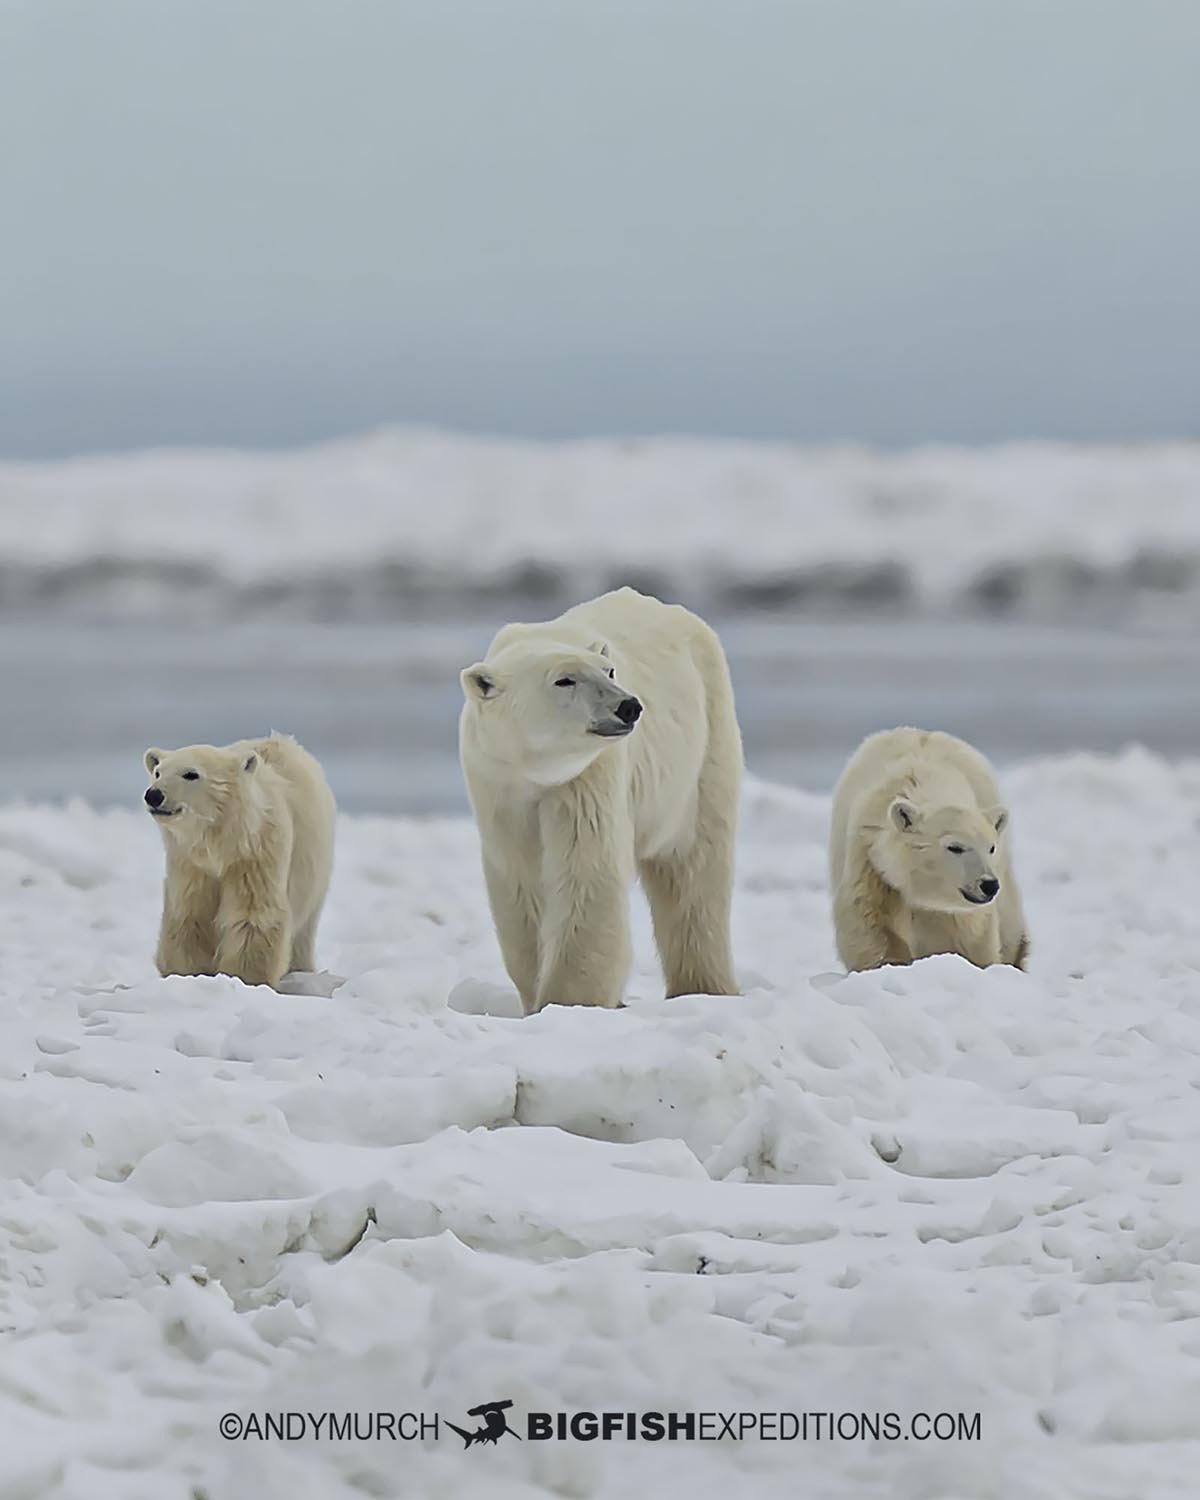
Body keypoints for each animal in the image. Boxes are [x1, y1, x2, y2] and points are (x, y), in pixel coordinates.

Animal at [143, 733, 336, 989]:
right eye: (158, 772)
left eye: (191, 774)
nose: (154, 795)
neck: (221, 843)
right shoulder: (189, 863)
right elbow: (190, 914)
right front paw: (187, 974)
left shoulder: (256, 856)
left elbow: (253, 916)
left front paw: (246, 979)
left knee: (304, 929)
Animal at [459, 587, 742, 1014]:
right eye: (564, 680)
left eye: (608, 671)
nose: (629, 706)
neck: (535, 771)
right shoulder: (497, 785)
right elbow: (522, 884)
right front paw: (535, 998)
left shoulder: (586, 777)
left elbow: (586, 872)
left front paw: (568, 1002)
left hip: (701, 751)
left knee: (694, 871)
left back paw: (704, 987)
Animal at [829, 726, 1029, 973]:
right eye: (955, 847)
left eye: (991, 847)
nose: (989, 884)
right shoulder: (872, 863)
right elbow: (870, 926)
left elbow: (971, 935)